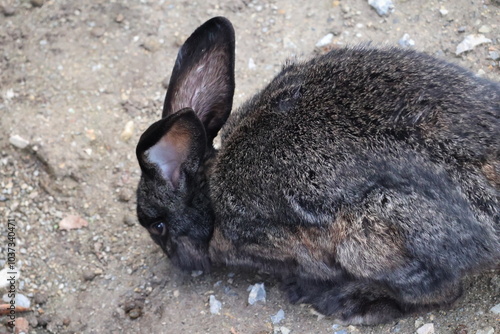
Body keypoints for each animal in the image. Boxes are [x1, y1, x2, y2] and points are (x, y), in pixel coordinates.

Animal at [134, 17, 500, 324]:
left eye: (158, 226)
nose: (174, 261)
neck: (209, 202)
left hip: (373, 239)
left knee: (441, 291)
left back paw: (348, 301)